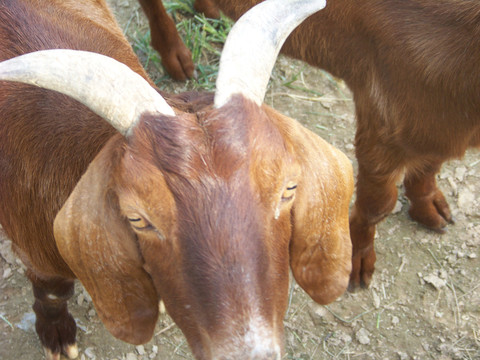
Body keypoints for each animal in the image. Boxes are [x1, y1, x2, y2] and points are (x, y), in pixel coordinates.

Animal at [0, 0, 352, 360]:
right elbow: (52, 291)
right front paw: (56, 334)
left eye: (289, 189)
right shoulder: (36, 253)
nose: (247, 353)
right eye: (137, 218)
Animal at [142, 0, 480, 288]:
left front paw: (430, 208)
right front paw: (356, 262)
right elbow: (378, 204)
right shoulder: (383, 124)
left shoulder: (439, 127)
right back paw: (175, 56)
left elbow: (431, 165)